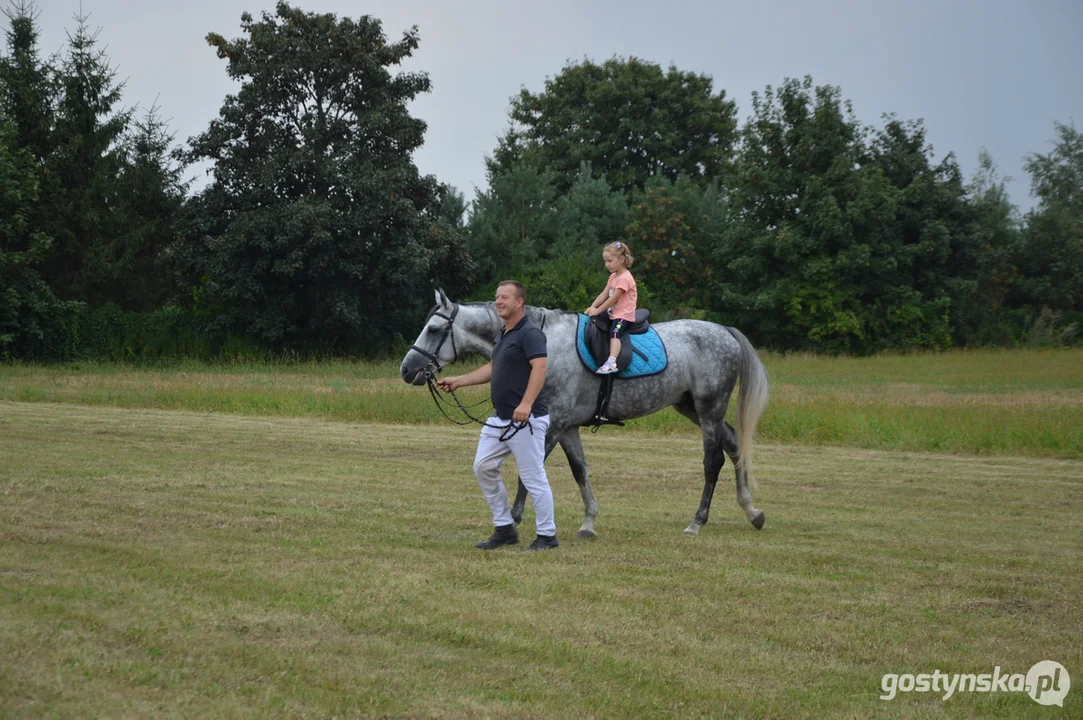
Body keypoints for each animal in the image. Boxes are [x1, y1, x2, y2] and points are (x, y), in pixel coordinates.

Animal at [400, 290, 771, 537]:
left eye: (433, 330)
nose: (407, 370)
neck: (545, 346)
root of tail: (725, 332)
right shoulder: (567, 428)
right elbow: (580, 471)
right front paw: (589, 522)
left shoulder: (549, 426)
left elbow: (528, 472)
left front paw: (515, 518)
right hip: (691, 407)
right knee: (735, 446)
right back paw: (752, 511)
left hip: (709, 409)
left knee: (714, 461)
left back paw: (698, 521)